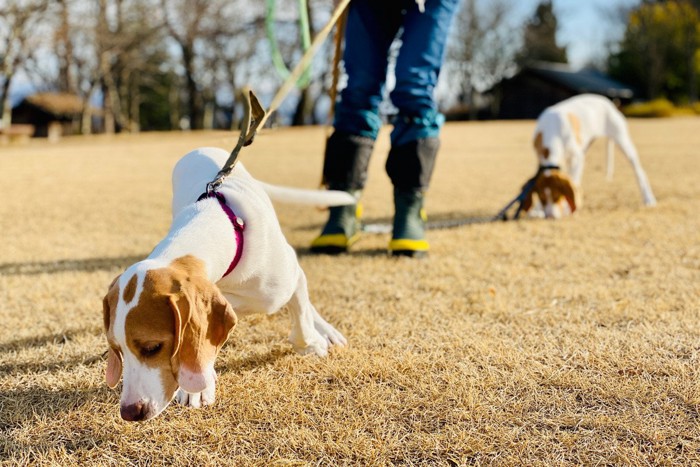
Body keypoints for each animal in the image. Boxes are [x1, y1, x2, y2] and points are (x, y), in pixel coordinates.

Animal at [101, 147, 352, 424]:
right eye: (116, 348)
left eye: (152, 347)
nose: (129, 412)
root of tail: (203, 149)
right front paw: (198, 389)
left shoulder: (285, 280)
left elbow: (301, 320)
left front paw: (312, 343)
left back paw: (326, 330)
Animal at [524, 95, 656, 221]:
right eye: (542, 198)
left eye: (558, 196)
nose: (550, 216)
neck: (551, 130)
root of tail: (607, 101)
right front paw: (538, 210)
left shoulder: (577, 158)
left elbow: (574, 179)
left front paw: (568, 208)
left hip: (622, 139)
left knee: (638, 169)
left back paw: (649, 198)